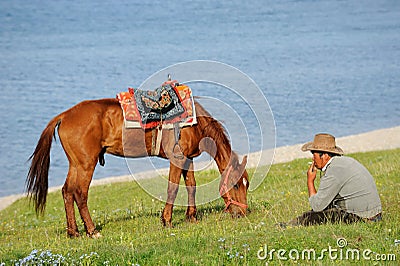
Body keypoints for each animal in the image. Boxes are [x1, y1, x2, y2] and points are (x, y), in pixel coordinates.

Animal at [25, 97, 247, 237]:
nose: (243, 213)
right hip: (86, 164)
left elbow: (191, 186)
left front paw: (191, 217)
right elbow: (173, 188)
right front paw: (166, 220)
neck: (194, 123)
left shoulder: (187, 159)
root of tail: (64, 115)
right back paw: (92, 231)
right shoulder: (176, 159)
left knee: (67, 192)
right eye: (236, 185)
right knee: (79, 193)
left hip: (76, 164)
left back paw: (74, 232)